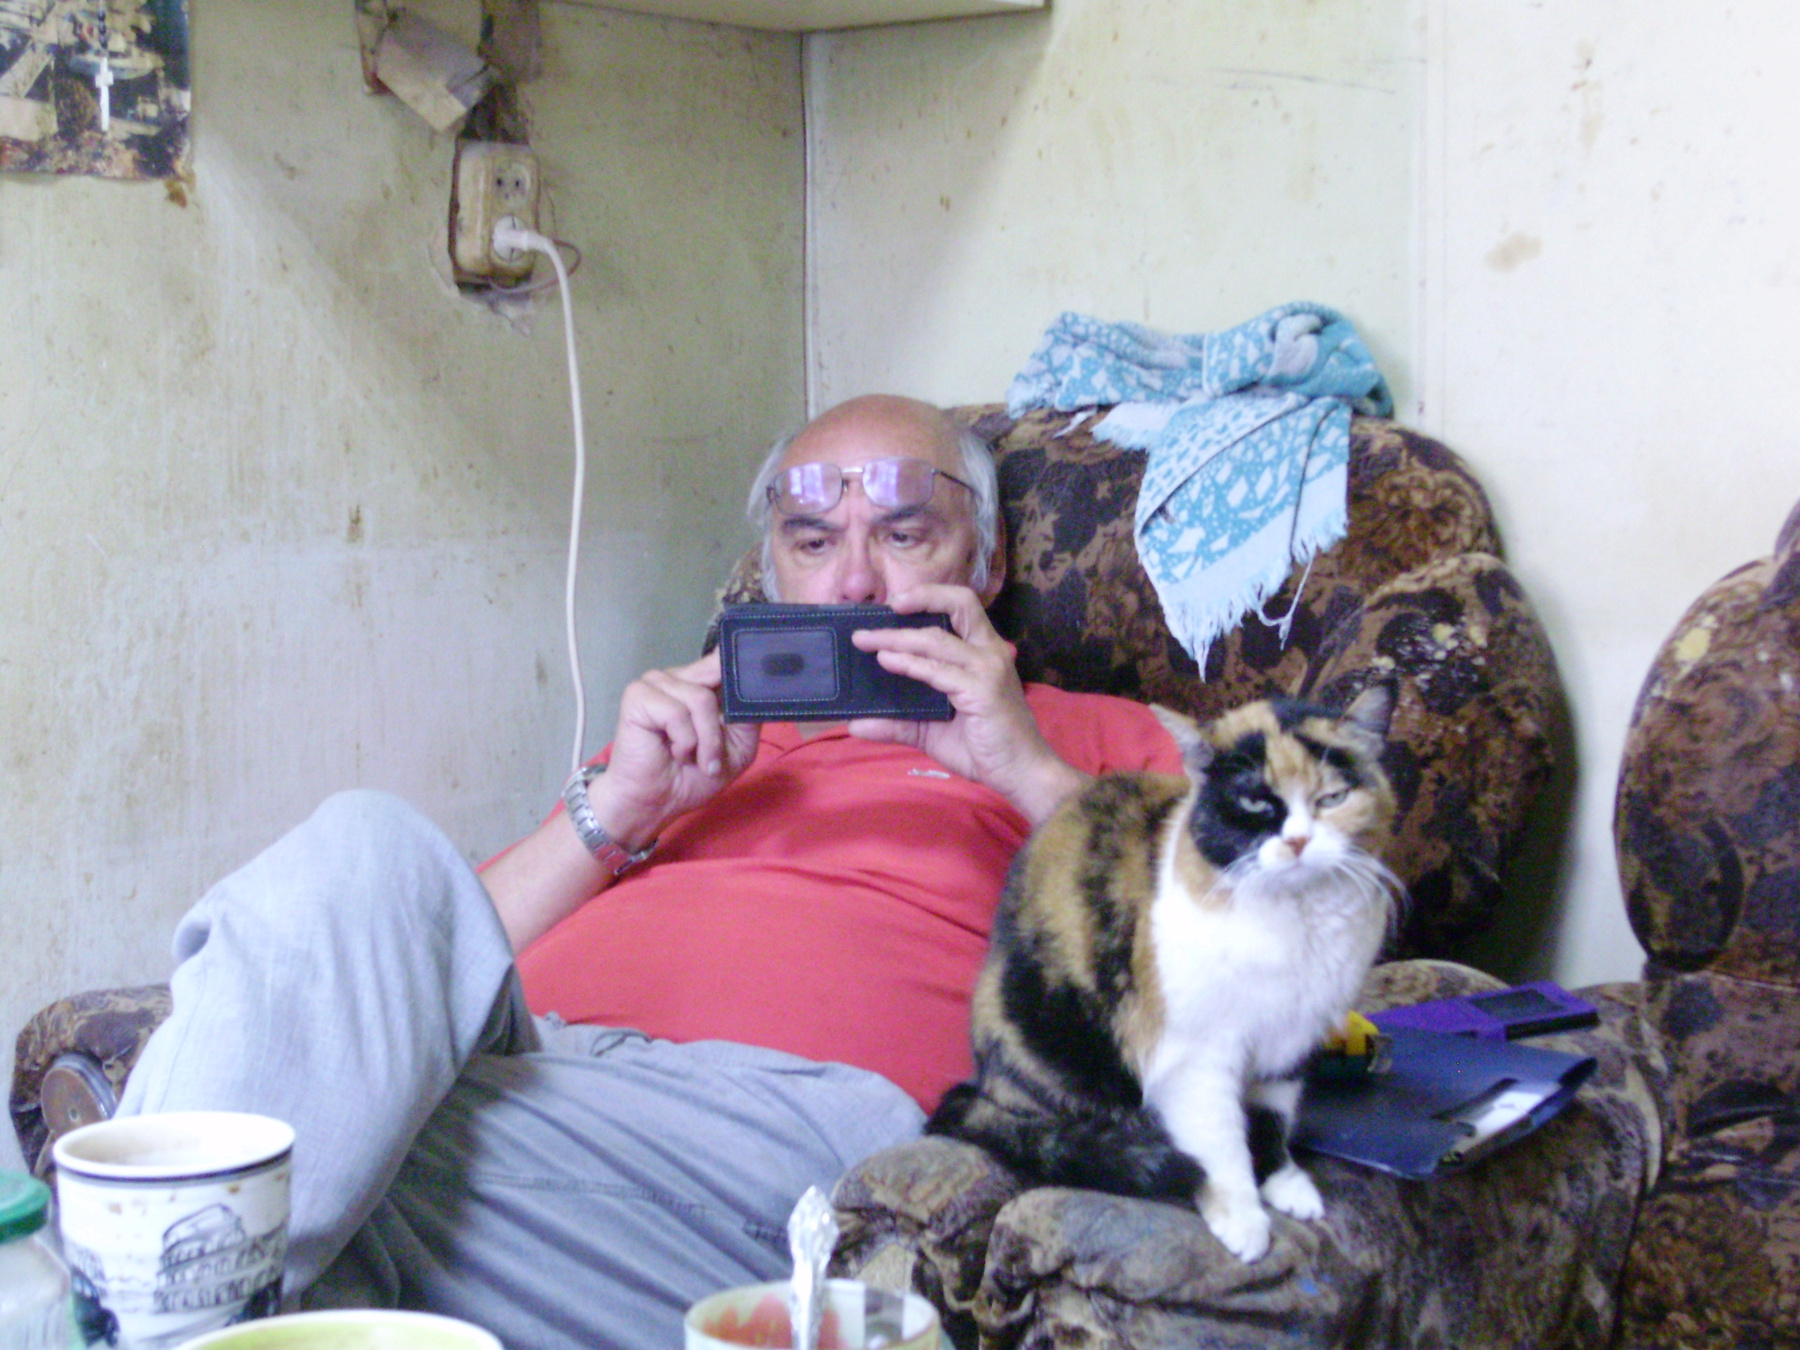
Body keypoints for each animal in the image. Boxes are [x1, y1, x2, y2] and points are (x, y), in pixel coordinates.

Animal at [926, 686, 1400, 1264]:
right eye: (1254, 803)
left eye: (1332, 797)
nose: (1297, 842)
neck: (1299, 925)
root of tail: (982, 1082)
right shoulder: (1193, 1055)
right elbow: (1220, 1139)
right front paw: (1241, 1218)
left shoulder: (1291, 1043)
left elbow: (1272, 1118)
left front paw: (1285, 1183)